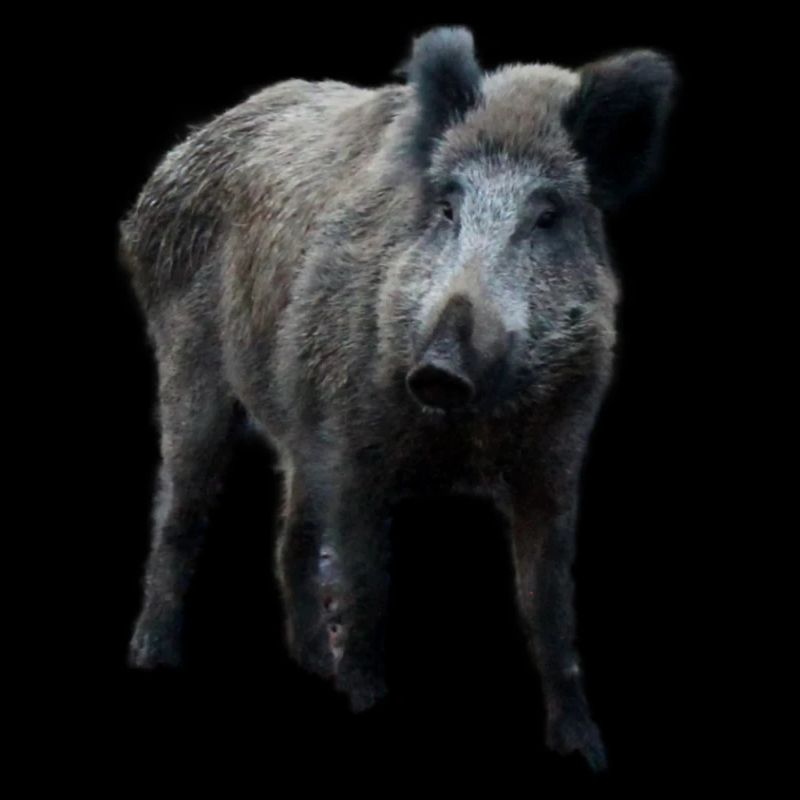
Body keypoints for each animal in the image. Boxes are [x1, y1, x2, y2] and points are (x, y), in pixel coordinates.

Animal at [119, 26, 677, 771]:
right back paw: (153, 660)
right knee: (181, 512)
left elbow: (548, 605)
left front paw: (585, 751)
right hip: (189, 365)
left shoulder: (555, 461)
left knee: (291, 535)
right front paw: (365, 703)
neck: (466, 436)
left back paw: (311, 665)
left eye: (547, 215)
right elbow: (367, 590)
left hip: (301, 425)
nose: (438, 367)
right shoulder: (357, 451)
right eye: (447, 208)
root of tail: (170, 168)